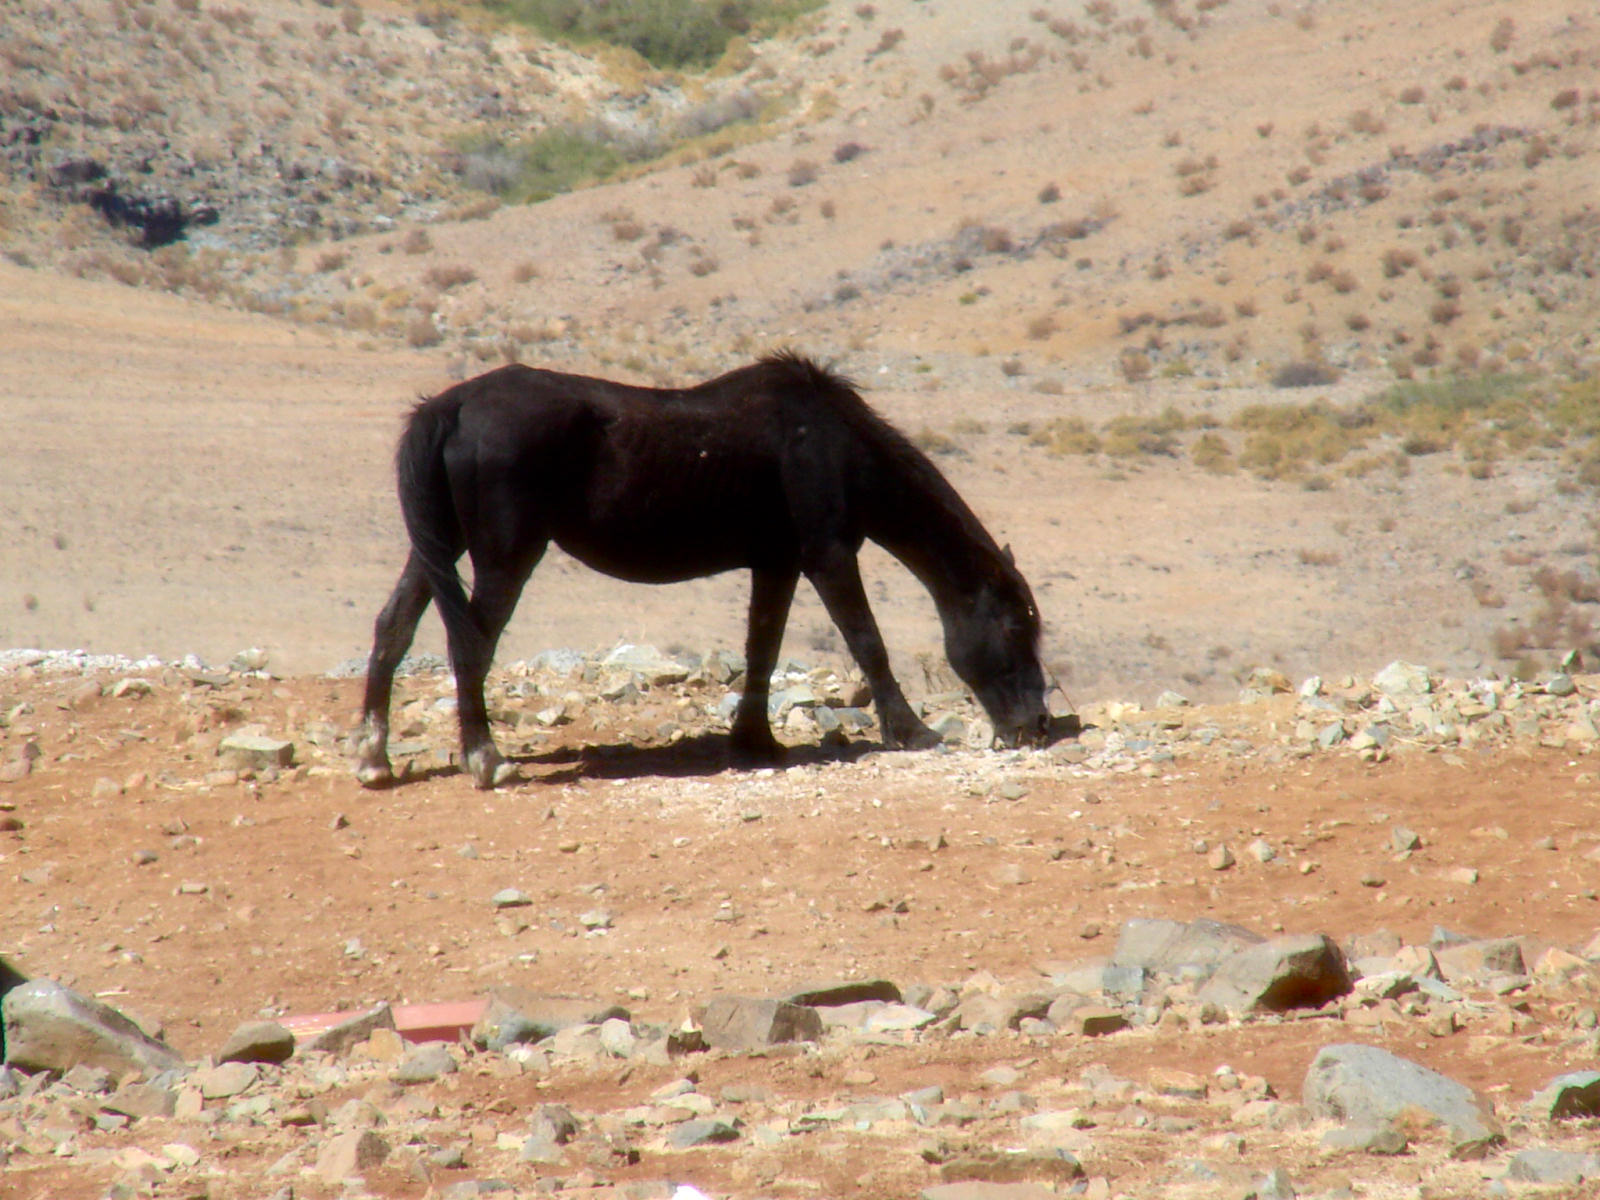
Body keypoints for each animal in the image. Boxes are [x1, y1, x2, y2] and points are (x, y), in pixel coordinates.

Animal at [355, 351, 1054, 788]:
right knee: (469, 643)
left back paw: (373, 757)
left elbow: (763, 648)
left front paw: (755, 741)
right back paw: (486, 758)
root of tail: (449, 407)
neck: (830, 442)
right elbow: (867, 642)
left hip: (438, 547)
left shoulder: (776, 563)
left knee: (394, 626)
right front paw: (913, 731)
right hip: (505, 554)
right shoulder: (827, 554)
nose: (1038, 726)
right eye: (1016, 630)